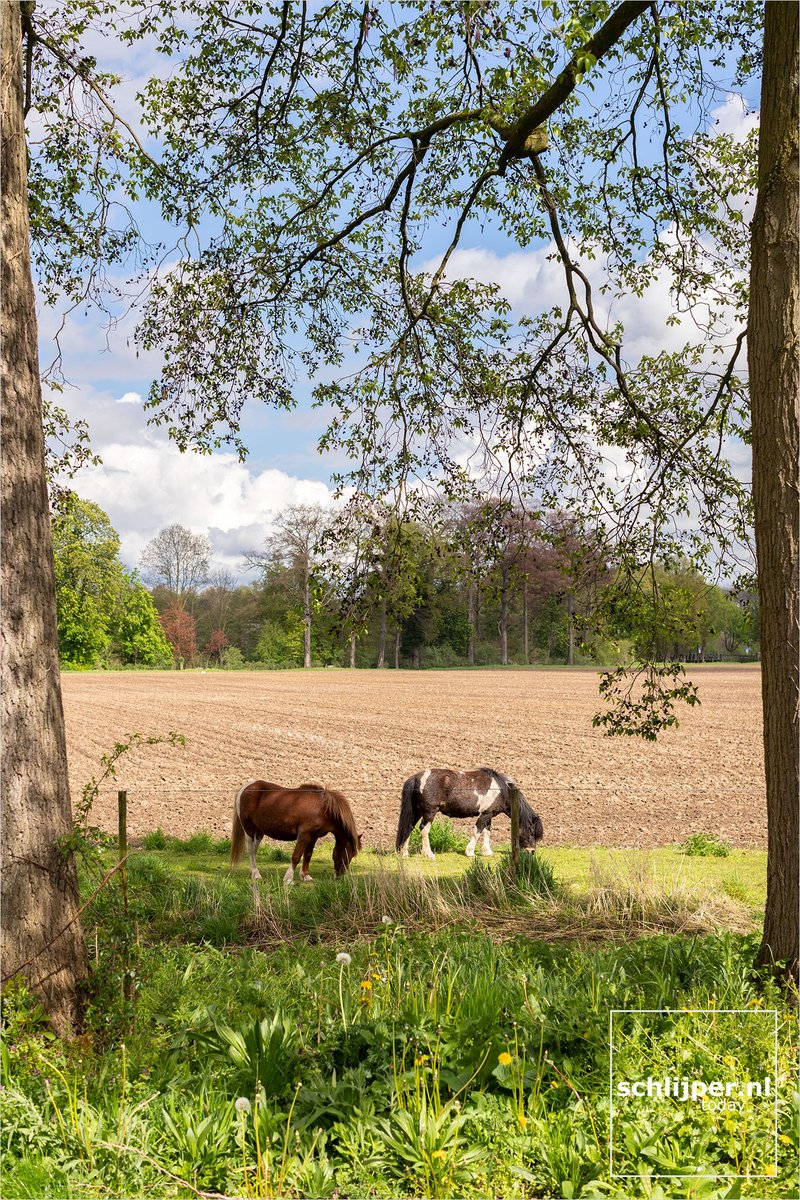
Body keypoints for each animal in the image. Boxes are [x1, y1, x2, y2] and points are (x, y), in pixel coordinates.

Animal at [231, 779, 362, 884]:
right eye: (347, 854)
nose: (340, 876)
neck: (323, 808)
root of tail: (246, 787)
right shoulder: (304, 835)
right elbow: (296, 856)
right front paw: (289, 879)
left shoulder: (313, 836)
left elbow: (308, 855)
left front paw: (305, 876)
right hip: (249, 830)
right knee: (251, 850)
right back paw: (256, 874)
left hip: (259, 832)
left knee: (254, 850)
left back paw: (253, 872)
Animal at [395, 768, 543, 859]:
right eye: (531, 832)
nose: (531, 852)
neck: (502, 790)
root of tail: (417, 777)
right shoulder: (485, 815)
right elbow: (477, 831)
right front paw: (470, 852)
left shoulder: (489, 814)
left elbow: (487, 832)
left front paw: (487, 851)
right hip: (429, 812)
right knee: (424, 830)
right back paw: (428, 854)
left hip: (417, 811)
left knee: (409, 827)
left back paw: (404, 853)